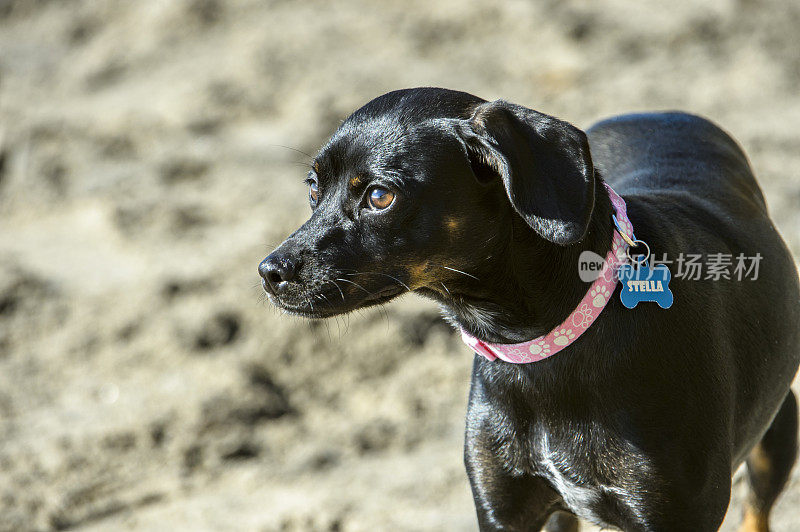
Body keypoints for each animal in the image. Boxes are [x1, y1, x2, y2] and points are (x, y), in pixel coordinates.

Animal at [260, 89, 800, 528]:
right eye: (312, 187)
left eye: (379, 195)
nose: (269, 272)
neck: (540, 349)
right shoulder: (506, 506)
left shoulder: (673, 513)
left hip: (777, 431)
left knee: (757, 512)